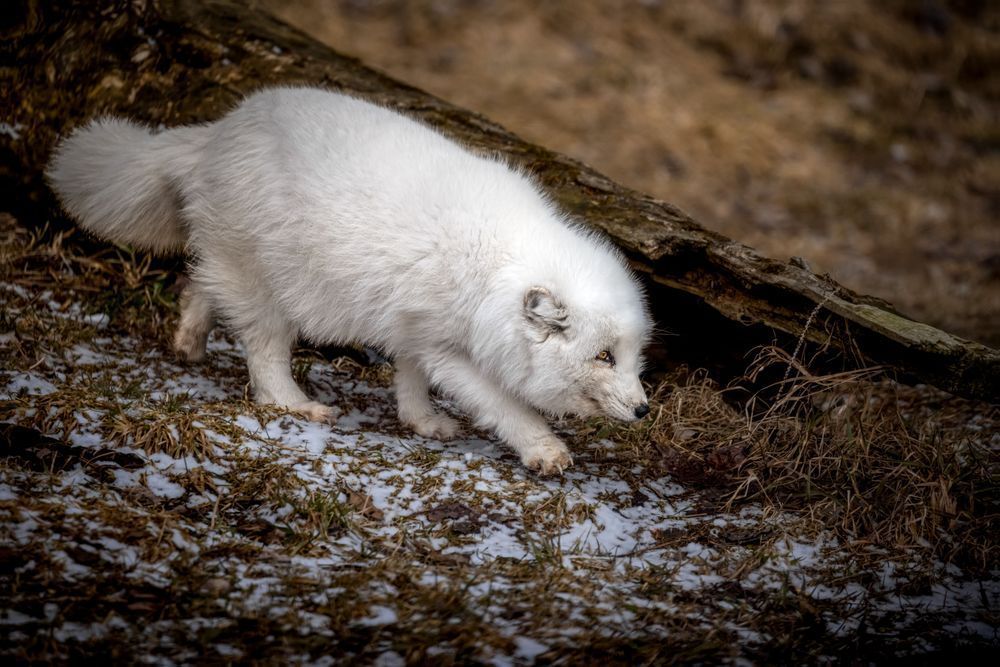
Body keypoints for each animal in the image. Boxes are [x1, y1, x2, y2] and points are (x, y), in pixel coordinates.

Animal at [46, 87, 651, 474]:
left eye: (633, 357)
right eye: (603, 357)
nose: (645, 410)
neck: (497, 264)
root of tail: (218, 131)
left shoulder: (413, 325)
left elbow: (410, 377)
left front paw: (420, 421)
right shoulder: (445, 343)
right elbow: (503, 405)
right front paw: (543, 449)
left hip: (232, 262)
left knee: (201, 283)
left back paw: (188, 341)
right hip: (271, 288)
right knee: (262, 357)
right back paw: (295, 404)